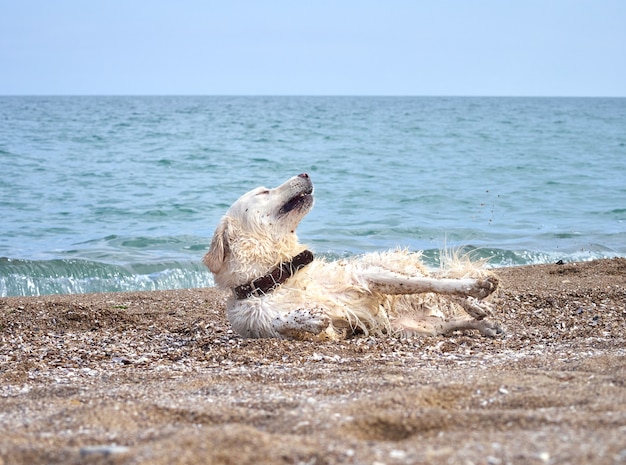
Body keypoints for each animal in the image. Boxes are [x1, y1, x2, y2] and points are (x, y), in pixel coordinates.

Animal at [205, 174, 502, 340]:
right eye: (263, 192)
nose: (305, 172)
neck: (278, 276)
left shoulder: (364, 277)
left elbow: (427, 284)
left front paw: (474, 287)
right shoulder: (256, 325)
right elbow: (281, 321)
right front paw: (306, 317)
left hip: (385, 266)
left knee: (432, 279)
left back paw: (477, 303)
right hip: (414, 328)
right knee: (448, 322)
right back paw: (485, 324)